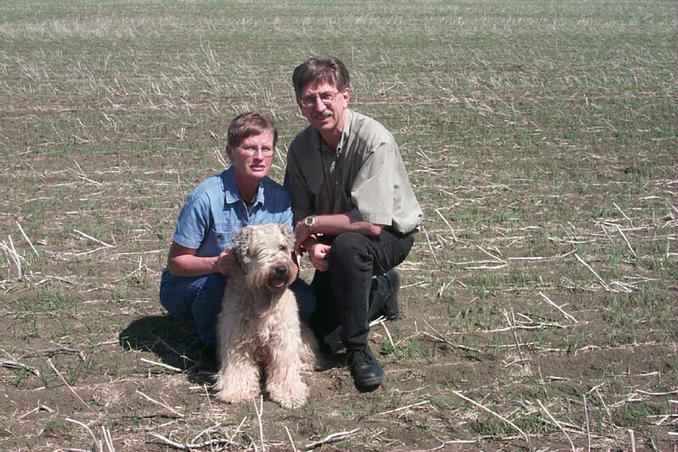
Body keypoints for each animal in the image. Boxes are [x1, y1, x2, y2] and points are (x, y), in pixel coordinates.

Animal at [214, 224, 318, 408]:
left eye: (282, 247)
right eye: (259, 249)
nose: (281, 269)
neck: (261, 300)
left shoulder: (283, 338)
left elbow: (285, 367)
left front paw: (289, 394)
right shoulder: (236, 339)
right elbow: (238, 367)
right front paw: (237, 391)